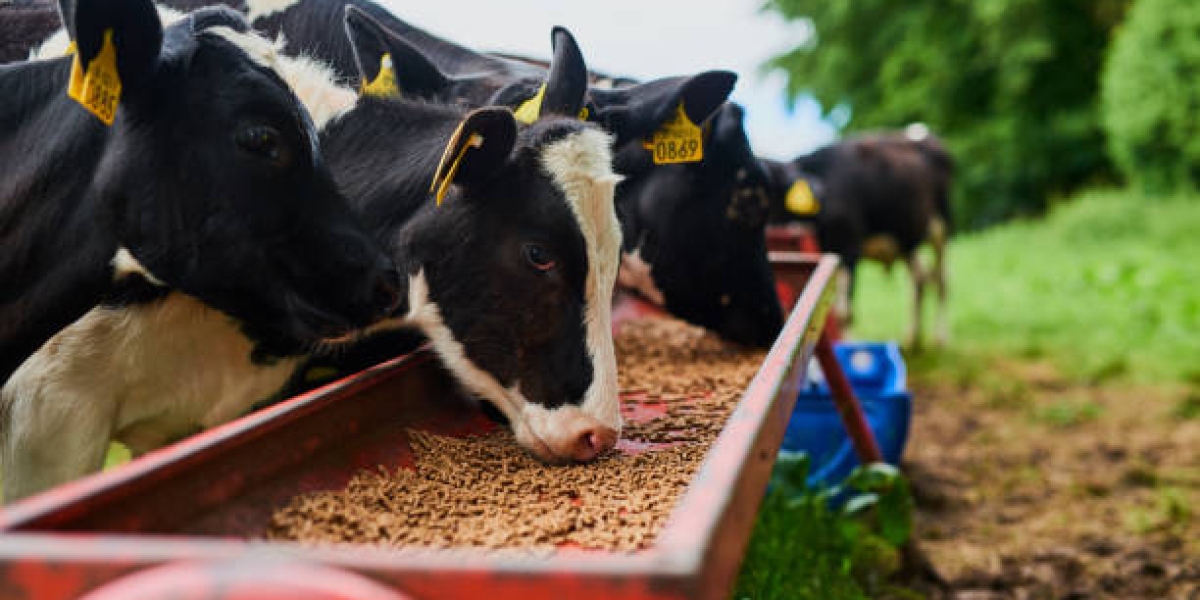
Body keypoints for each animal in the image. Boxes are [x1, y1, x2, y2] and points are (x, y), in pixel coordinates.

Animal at [763, 127, 954, 349]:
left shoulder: (848, 248)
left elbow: (844, 312)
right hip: (906, 238)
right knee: (920, 279)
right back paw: (912, 339)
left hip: (941, 228)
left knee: (941, 281)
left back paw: (941, 338)